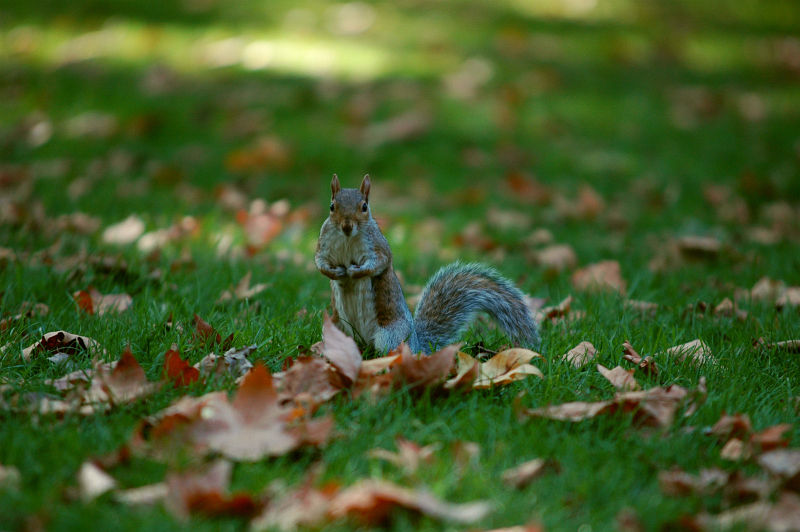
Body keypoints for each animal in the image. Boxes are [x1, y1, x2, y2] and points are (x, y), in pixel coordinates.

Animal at [316, 175, 540, 354]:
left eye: (364, 207)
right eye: (332, 206)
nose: (346, 226)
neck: (347, 239)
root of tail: (416, 344)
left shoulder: (378, 246)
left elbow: (379, 262)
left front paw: (356, 271)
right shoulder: (323, 245)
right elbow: (319, 262)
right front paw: (334, 272)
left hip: (390, 336)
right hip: (334, 326)